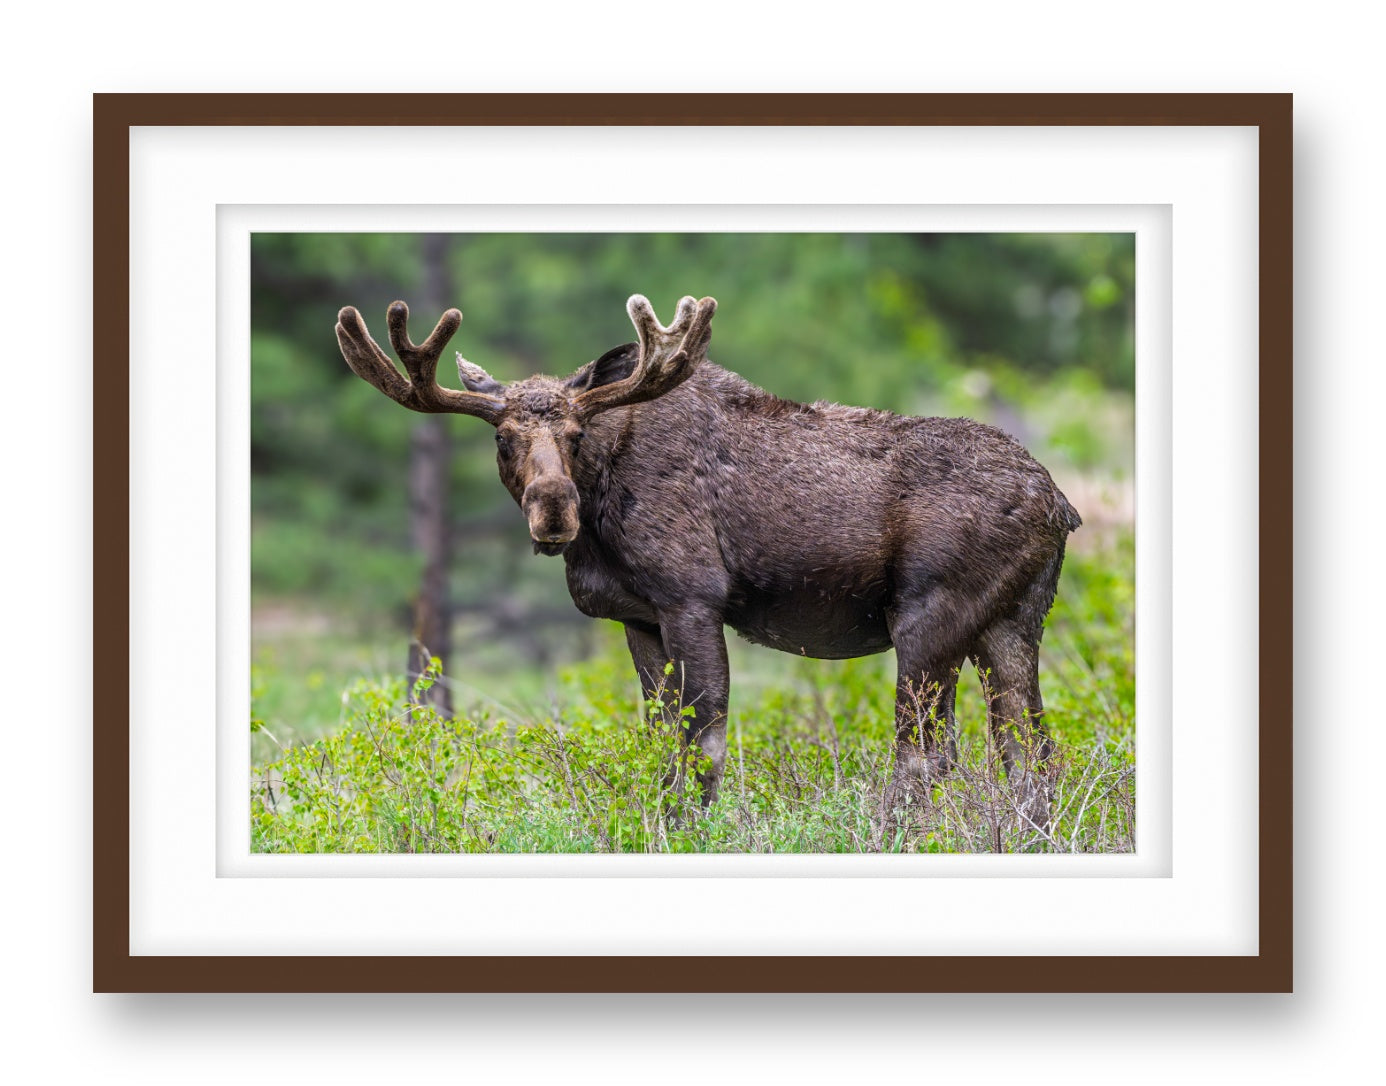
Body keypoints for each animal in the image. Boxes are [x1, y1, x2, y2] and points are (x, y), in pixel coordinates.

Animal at [334, 294, 1081, 825]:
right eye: (503, 439)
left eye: (575, 433)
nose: (553, 511)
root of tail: (1060, 504)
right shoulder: (636, 618)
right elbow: (659, 741)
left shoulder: (692, 598)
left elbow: (702, 744)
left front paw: (691, 829)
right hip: (1012, 622)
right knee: (1029, 755)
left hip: (930, 617)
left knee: (927, 755)